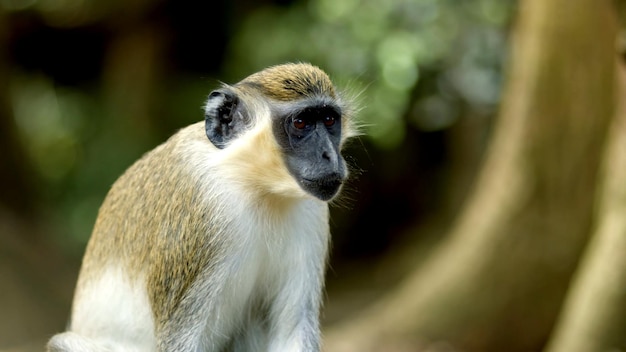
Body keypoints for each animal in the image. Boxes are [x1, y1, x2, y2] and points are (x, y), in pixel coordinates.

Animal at [47, 63, 360, 352]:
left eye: (329, 119)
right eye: (301, 123)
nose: (329, 155)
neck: (254, 185)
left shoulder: (311, 213)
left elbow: (291, 331)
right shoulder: (204, 208)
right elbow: (181, 340)